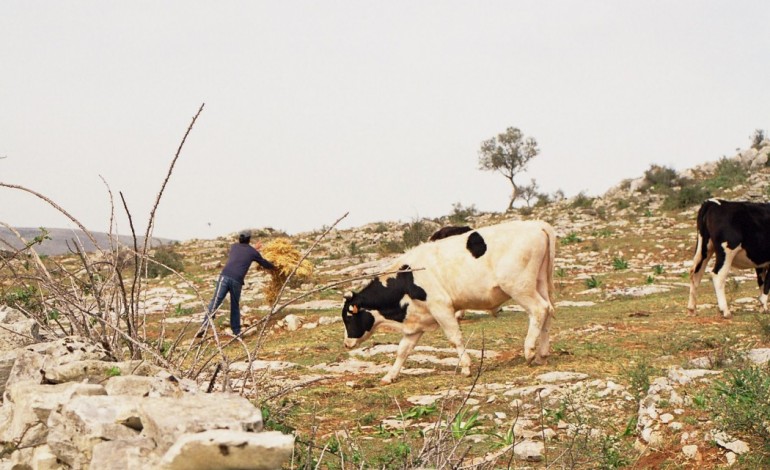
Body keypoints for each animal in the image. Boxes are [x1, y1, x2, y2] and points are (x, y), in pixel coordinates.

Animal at [340, 219, 552, 382]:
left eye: (349, 318)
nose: (346, 343)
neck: (406, 278)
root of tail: (537, 225)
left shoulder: (441, 307)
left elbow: (455, 338)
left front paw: (466, 367)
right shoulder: (416, 322)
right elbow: (403, 350)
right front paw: (389, 376)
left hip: (519, 286)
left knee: (539, 310)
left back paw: (529, 351)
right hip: (540, 284)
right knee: (548, 311)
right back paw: (542, 354)